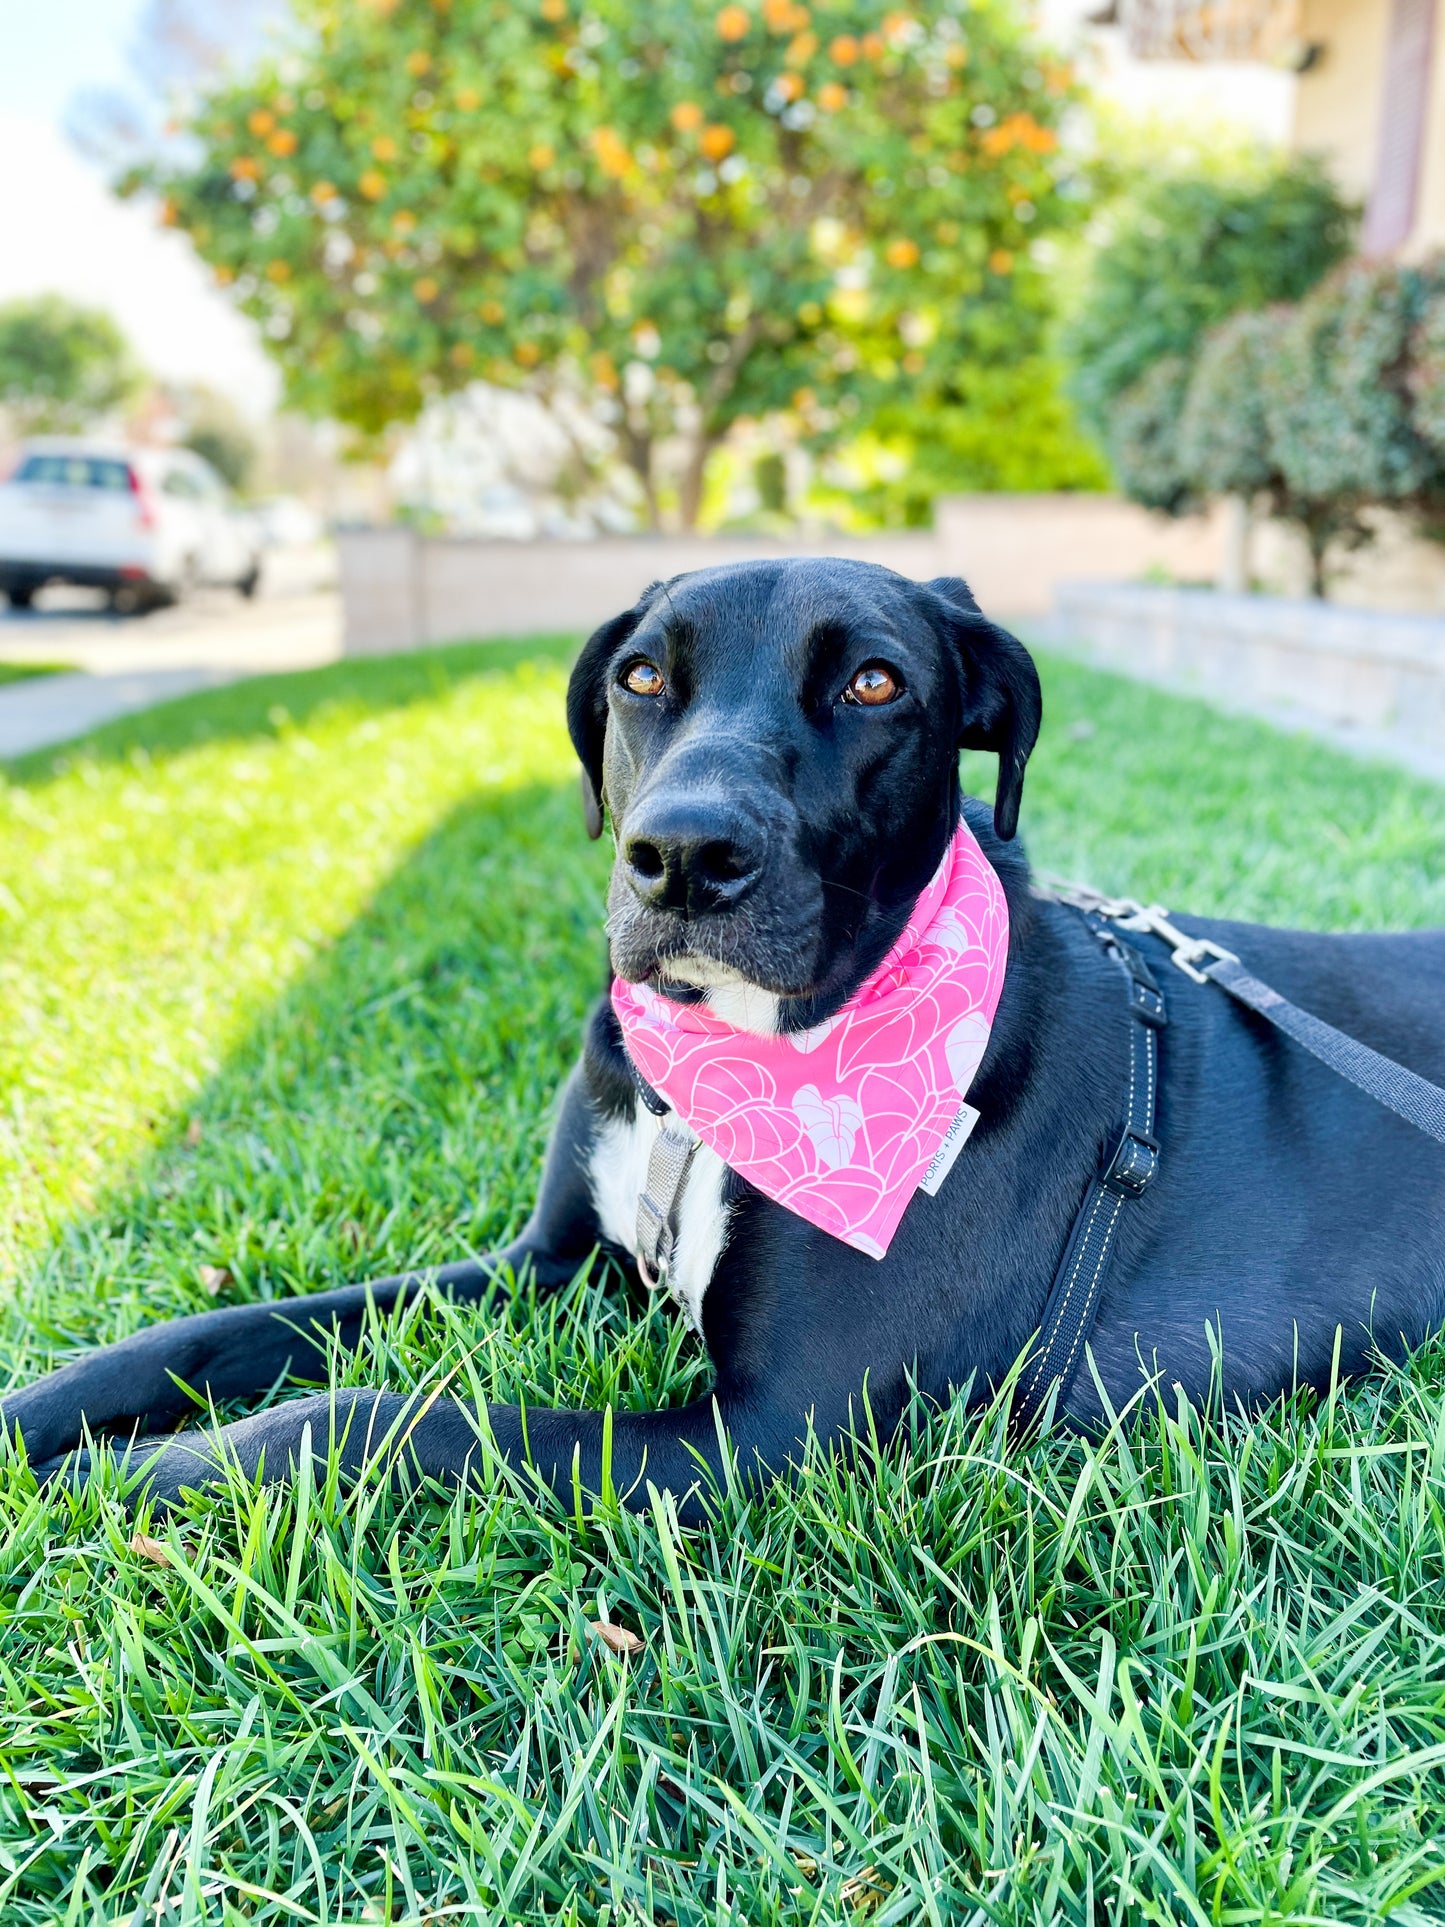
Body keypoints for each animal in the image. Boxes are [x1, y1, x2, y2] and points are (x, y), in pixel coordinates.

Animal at [2, 562, 1445, 1518]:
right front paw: (40, 1415)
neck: (724, 1075)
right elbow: (229, 1328)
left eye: (873, 679)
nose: (681, 857)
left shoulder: (762, 1430)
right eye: (641, 673)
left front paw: (142, 1472)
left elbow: (381, 1419)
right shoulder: (553, 1260)